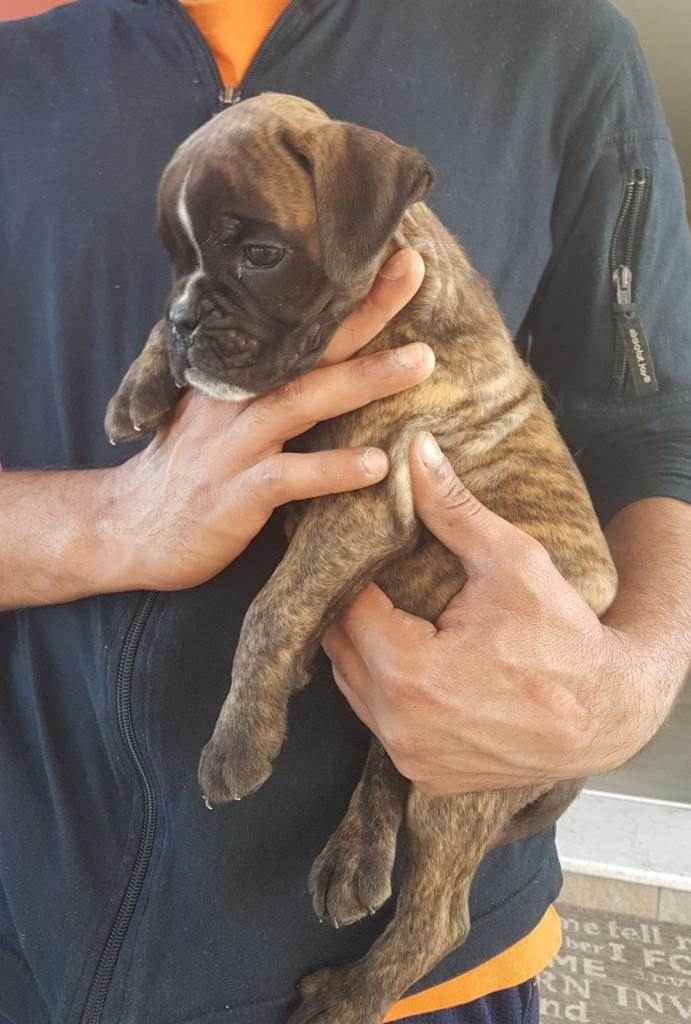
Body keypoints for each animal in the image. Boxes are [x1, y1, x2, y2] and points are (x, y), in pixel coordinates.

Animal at [106, 96, 618, 1024]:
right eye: (175, 262)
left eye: (260, 254)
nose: (187, 321)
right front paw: (145, 381)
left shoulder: (366, 492)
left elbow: (269, 609)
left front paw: (238, 741)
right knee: (389, 768)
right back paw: (354, 861)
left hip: (467, 771)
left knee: (440, 919)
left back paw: (348, 996)